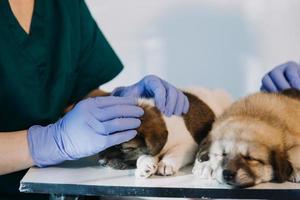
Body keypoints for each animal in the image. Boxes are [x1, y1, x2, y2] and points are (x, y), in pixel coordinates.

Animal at [97, 88, 231, 177]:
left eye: (126, 149)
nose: (102, 163)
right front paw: (146, 163)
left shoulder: (189, 145)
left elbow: (175, 151)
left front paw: (166, 163)